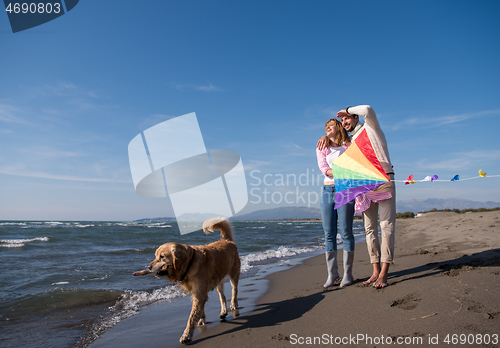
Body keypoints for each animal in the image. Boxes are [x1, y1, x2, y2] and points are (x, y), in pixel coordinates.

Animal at [146, 216, 238, 344]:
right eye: (155, 256)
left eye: (162, 257)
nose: (148, 267)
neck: (189, 264)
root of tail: (227, 240)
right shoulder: (197, 293)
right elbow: (199, 310)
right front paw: (201, 320)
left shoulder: (199, 293)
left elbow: (191, 317)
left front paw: (186, 335)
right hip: (218, 280)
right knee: (222, 296)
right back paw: (223, 311)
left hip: (234, 274)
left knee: (234, 291)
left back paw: (234, 305)